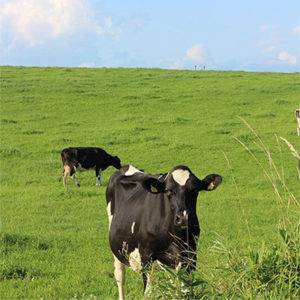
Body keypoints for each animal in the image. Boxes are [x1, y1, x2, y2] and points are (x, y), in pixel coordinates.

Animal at [105, 165, 220, 298]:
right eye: (169, 191)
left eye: (195, 190)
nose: (184, 217)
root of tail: (126, 167)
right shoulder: (145, 255)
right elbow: (148, 292)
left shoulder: (190, 255)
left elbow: (185, 289)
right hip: (117, 248)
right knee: (120, 276)